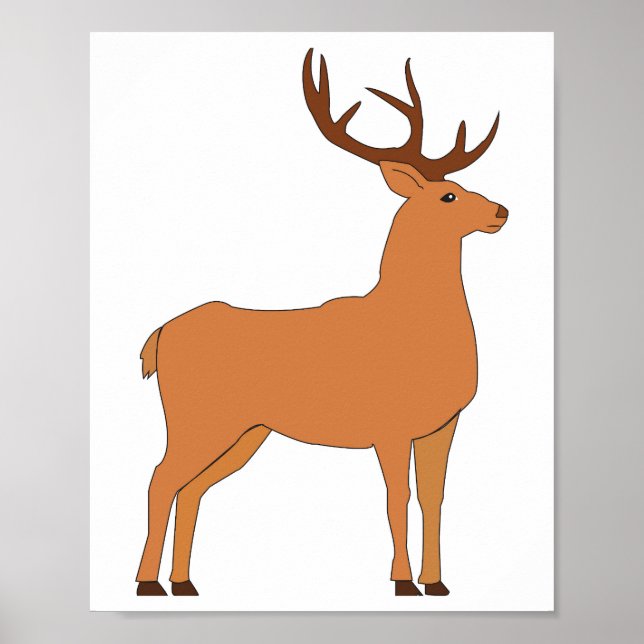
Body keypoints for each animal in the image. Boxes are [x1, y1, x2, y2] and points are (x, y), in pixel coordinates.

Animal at [135, 48, 508, 598]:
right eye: (448, 197)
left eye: (463, 187)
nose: (502, 210)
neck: (414, 328)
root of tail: (159, 337)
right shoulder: (388, 424)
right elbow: (397, 497)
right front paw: (402, 582)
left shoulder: (444, 424)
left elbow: (433, 498)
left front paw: (437, 583)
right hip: (195, 416)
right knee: (161, 478)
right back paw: (148, 583)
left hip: (246, 432)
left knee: (192, 487)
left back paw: (184, 583)